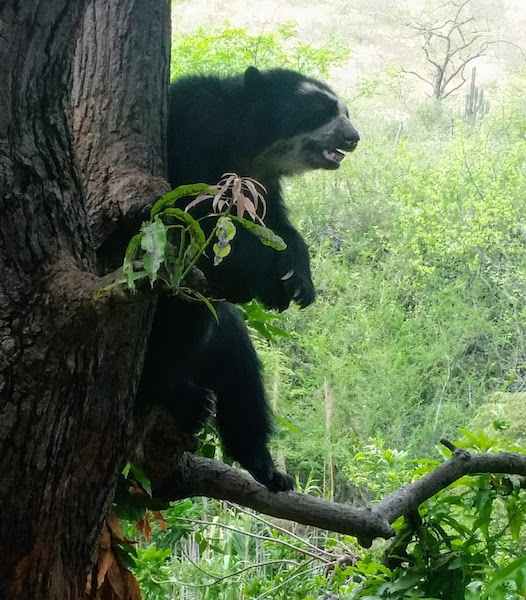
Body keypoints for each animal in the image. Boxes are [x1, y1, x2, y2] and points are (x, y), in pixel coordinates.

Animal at [138, 68, 360, 492]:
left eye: (345, 112)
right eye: (318, 110)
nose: (353, 137)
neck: (248, 144)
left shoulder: (259, 182)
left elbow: (273, 224)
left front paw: (299, 278)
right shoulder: (194, 131)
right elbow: (196, 219)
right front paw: (272, 280)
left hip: (221, 343)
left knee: (240, 369)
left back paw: (266, 467)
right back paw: (184, 396)